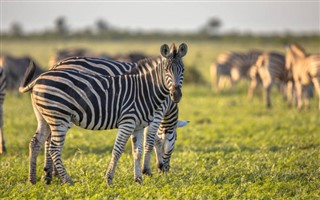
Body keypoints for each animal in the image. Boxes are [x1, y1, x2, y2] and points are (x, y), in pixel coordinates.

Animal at [18, 43, 188, 185]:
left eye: (183, 70)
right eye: (175, 139)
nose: (164, 169)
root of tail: (43, 75)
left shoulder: (140, 122)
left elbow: (138, 150)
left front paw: (140, 177)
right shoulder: (144, 117)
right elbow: (147, 142)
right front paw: (143, 172)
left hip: (45, 117)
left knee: (37, 142)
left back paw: (37, 178)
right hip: (61, 117)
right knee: (53, 147)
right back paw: (65, 180)